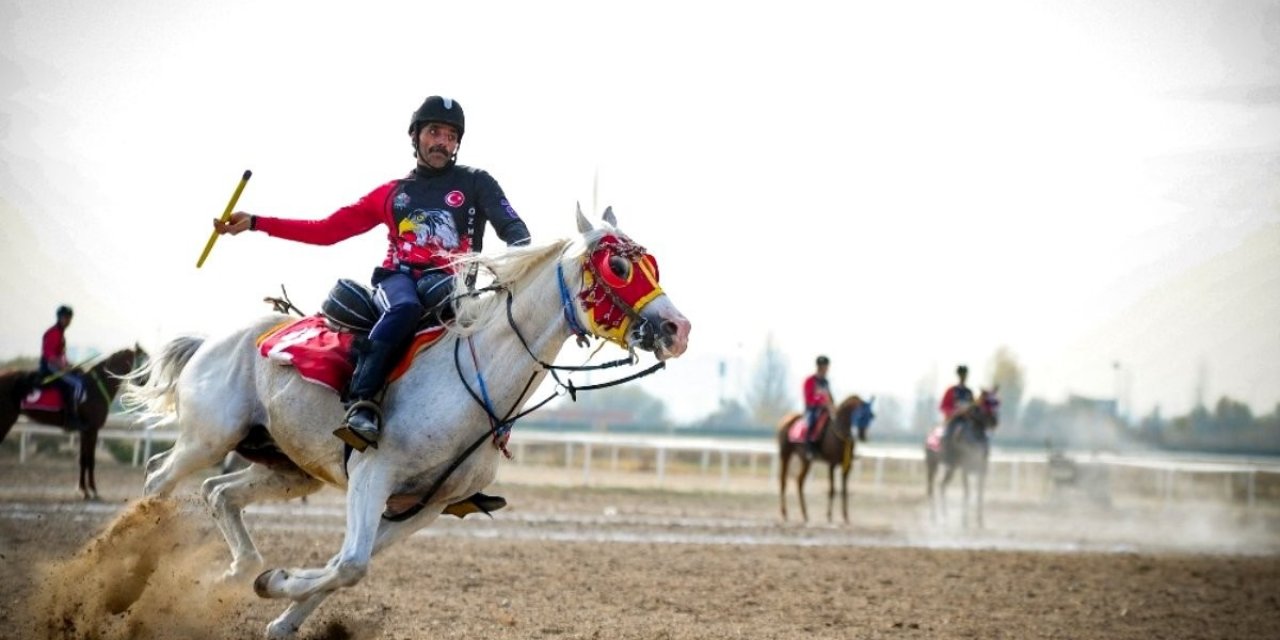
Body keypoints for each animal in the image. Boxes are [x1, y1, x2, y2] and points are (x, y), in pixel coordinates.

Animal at [0, 345, 146, 499]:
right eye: (143, 360)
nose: (146, 382)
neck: (96, 387)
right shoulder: (92, 430)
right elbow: (90, 460)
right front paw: (91, 490)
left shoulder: (85, 431)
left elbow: (83, 460)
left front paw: (83, 489)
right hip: (5, 420)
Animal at [122, 207, 691, 637]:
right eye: (618, 266)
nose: (677, 328)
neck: (471, 385)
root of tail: (213, 340)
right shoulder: (373, 475)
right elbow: (350, 564)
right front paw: (274, 584)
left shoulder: (424, 506)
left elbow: (345, 567)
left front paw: (279, 608)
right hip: (208, 438)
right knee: (158, 480)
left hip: (287, 468)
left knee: (219, 492)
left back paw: (237, 570)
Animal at [773, 394, 875, 524]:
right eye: (860, 414)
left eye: (871, 415)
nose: (862, 436)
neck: (840, 433)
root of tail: (785, 419)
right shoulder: (832, 464)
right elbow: (832, 490)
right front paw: (829, 516)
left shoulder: (847, 466)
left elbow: (844, 491)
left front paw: (846, 517)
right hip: (785, 454)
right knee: (783, 480)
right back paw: (785, 513)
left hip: (805, 461)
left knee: (799, 481)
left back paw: (805, 514)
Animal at [926, 386, 1003, 527]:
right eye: (987, 402)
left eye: (997, 402)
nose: (994, 421)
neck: (975, 436)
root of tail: (930, 434)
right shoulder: (965, 468)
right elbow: (967, 492)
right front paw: (965, 521)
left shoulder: (982, 469)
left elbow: (980, 494)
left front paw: (980, 521)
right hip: (932, 464)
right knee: (931, 489)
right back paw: (933, 517)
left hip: (951, 468)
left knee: (942, 486)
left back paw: (944, 516)